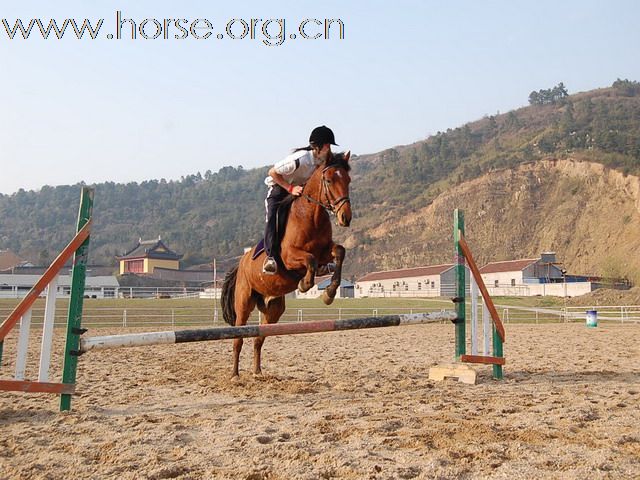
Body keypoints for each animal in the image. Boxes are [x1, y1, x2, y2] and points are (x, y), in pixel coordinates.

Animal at [221, 152, 352, 376]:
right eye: (328, 180)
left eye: (348, 180)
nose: (345, 217)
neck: (311, 216)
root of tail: (241, 263)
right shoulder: (290, 257)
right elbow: (310, 259)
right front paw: (305, 285)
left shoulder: (325, 252)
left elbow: (339, 252)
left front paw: (329, 293)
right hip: (244, 301)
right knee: (239, 338)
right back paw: (235, 374)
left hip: (273, 309)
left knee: (259, 338)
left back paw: (257, 372)